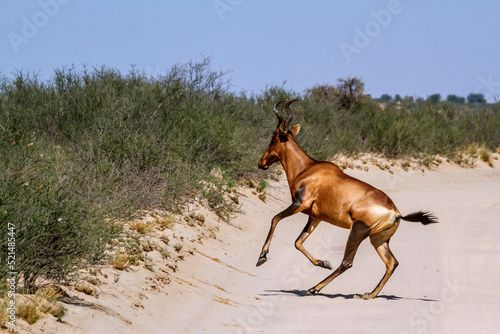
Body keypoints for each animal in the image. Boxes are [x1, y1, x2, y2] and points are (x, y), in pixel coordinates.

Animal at [258, 99, 438, 300]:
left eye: (274, 136)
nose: (261, 163)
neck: (308, 168)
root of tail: (396, 212)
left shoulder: (299, 204)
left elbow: (275, 219)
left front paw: (262, 257)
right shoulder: (315, 217)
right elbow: (298, 242)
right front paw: (323, 262)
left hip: (357, 231)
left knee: (347, 262)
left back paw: (314, 288)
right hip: (378, 239)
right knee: (392, 263)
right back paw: (368, 295)